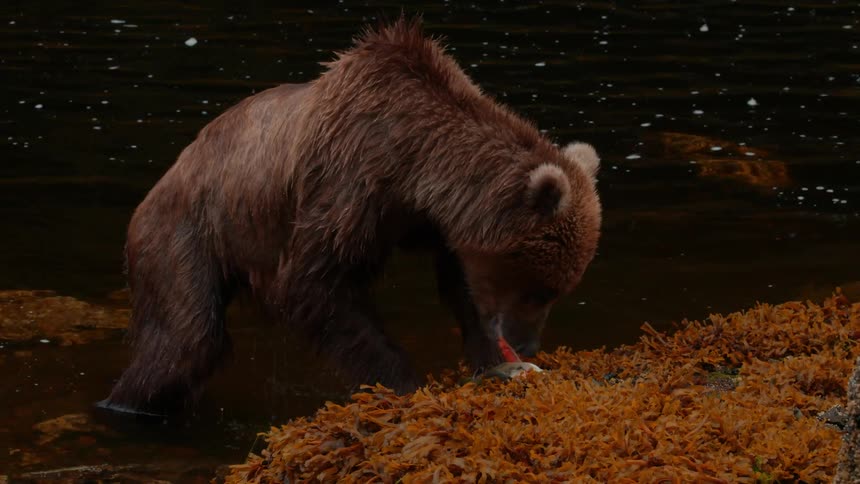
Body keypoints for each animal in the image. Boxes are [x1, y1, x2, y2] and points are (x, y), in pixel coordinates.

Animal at [101, 17, 602, 415]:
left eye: (558, 289)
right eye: (540, 290)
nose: (529, 343)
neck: (416, 166)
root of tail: (154, 190)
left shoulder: (435, 225)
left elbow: (460, 286)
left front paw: (497, 363)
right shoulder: (349, 184)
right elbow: (315, 286)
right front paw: (407, 382)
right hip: (187, 236)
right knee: (184, 340)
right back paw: (123, 404)